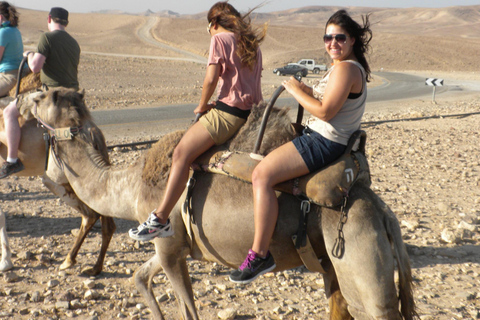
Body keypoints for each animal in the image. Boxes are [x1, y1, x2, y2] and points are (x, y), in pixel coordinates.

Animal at [0, 74, 116, 272]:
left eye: (38, 98)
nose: (19, 100)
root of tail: (94, 130)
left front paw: (6, 261)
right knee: (98, 217)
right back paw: (92, 267)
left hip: (60, 177)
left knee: (93, 214)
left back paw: (73, 261)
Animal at [32, 87, 416, 320]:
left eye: (49, 94)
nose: (30, 96)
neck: (132, 186)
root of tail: (383, 213)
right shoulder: (174, 244)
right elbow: (140, 277)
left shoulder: (168, 246)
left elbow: (188, 310)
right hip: (335, 265)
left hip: (358, 258)